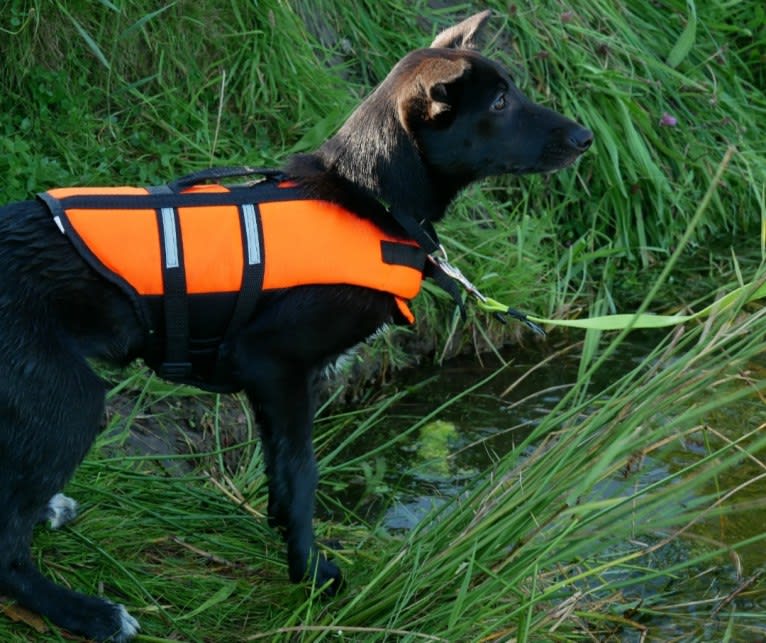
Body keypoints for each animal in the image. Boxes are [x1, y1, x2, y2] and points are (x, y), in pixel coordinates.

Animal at [0, 11, 592, 643]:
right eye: (501, 101)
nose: (586, 138)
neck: (368, 200)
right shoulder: (276, 368)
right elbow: (301, 477)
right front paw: (309, 574)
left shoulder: (273, 385)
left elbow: (285, 478)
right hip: (69, 397)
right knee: (5, 547)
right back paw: (88, 613)